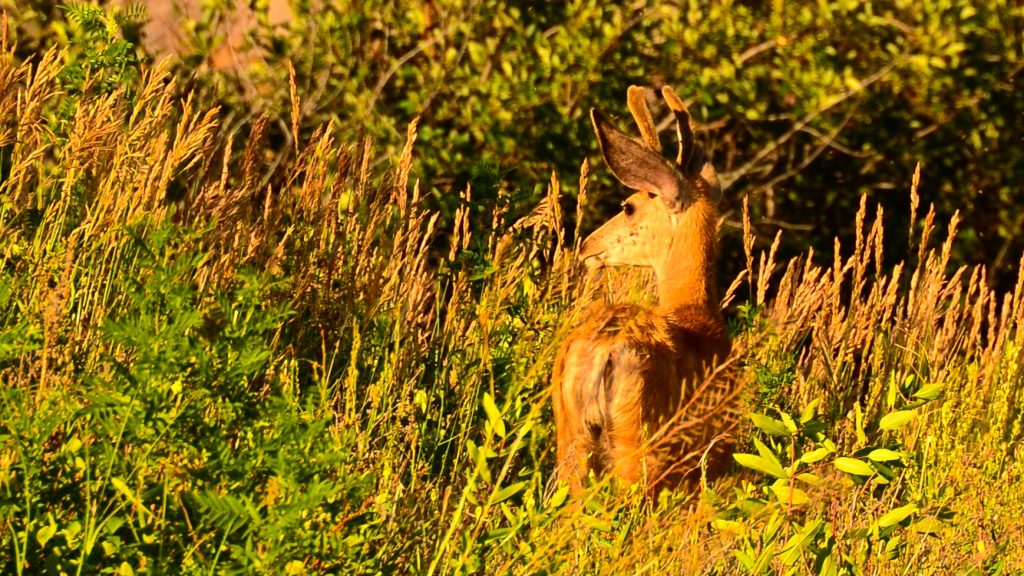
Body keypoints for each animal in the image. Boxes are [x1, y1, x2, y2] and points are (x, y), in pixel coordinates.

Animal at [552, 84, 737, 494]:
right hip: (637, 436)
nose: (586, 246)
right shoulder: (716, 451)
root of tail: (603, 348)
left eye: (628, 206)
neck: (695, 313)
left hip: (570, 431)